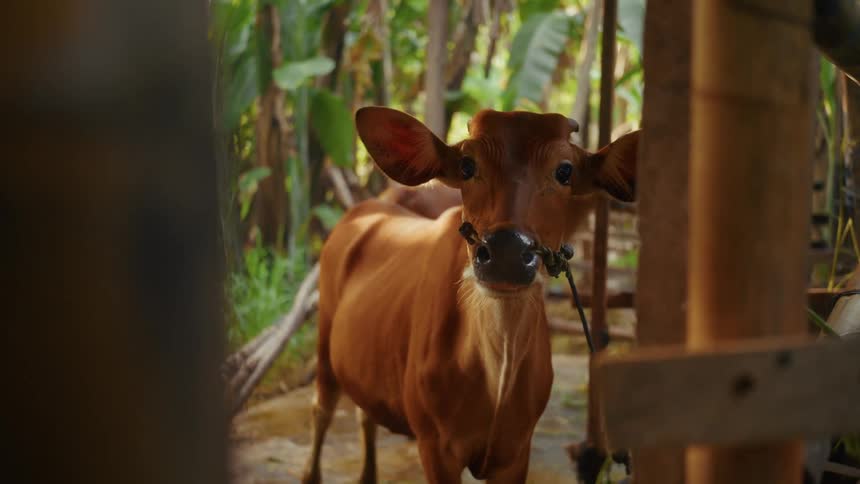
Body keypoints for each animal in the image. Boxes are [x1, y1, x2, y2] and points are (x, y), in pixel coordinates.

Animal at [301, 106, 639, 483]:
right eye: (466, 165)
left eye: (565, 171)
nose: (507, 252)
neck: (495, 379)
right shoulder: (435, 446)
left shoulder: (516, 452)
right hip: (324, 339)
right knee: (321, 410)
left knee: (365, 413)